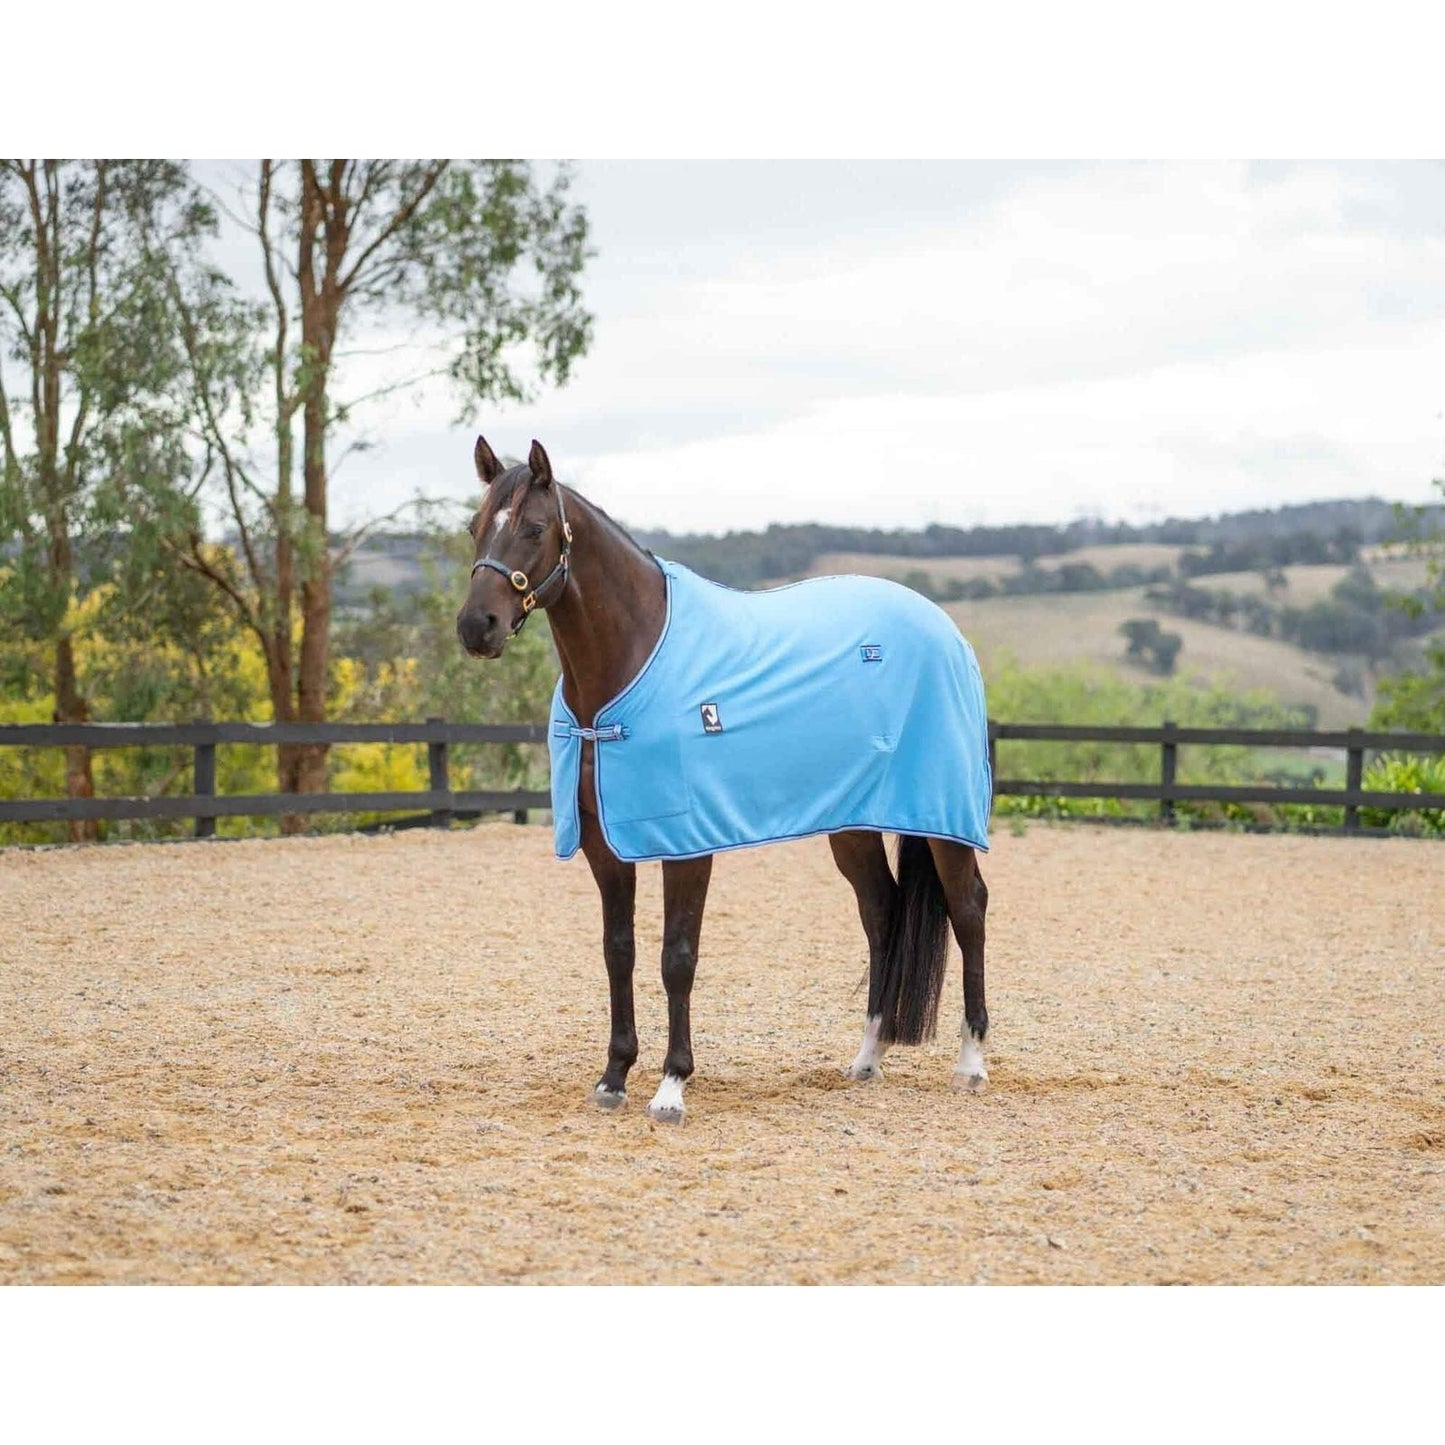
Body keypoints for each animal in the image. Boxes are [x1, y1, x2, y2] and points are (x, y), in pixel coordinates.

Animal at [455, 436, 991, 1123]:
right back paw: (867, 1057)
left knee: (968, 909)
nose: (478, 627)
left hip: (944, 817)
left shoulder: (686, 843)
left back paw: (971, 1062)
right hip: (854, 825)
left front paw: (671, 1086)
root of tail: (950, 636)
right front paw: (614, 1077)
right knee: (881, 913)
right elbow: (618, 950)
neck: (632, 661)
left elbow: (677, 957)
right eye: (475, 527)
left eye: (535, 528)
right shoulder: (605, 844)